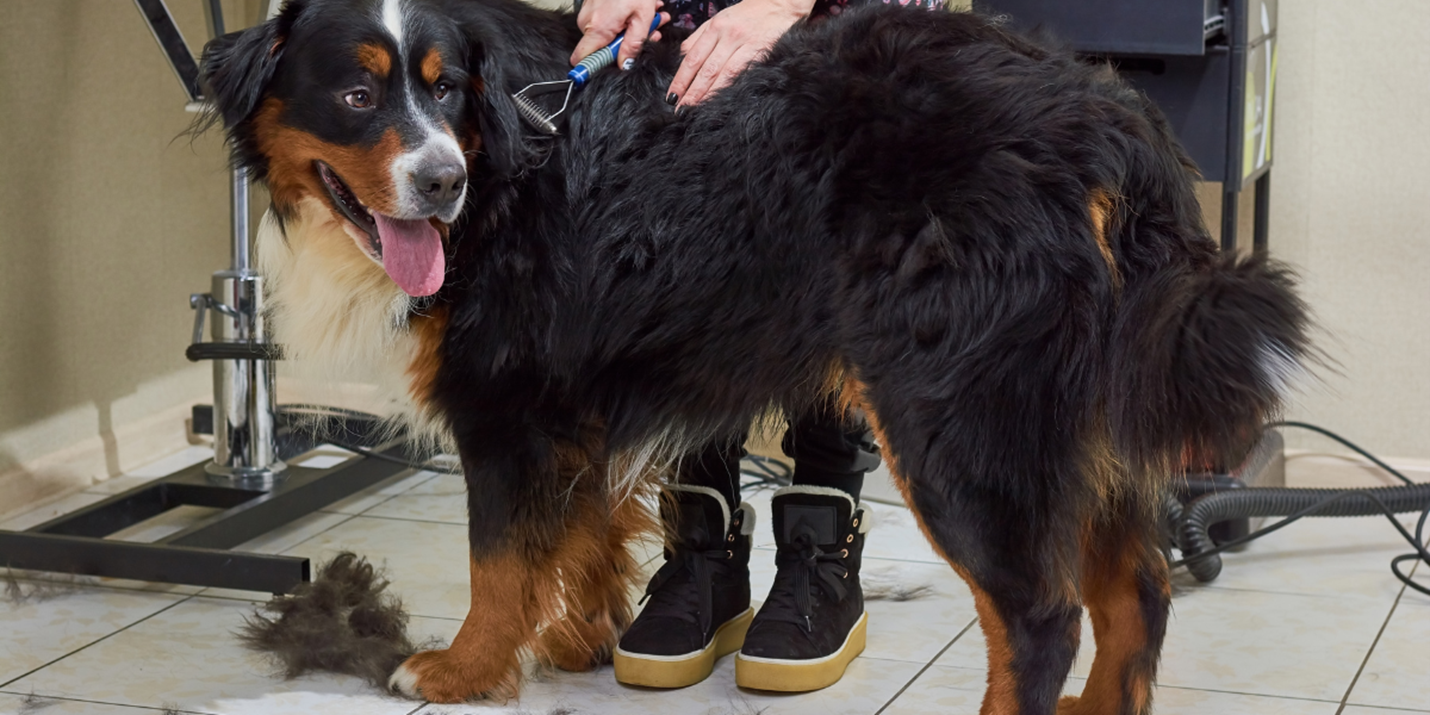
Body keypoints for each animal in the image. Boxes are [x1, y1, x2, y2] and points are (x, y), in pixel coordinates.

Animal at [195, 1, 1309, 709]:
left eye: (446, 89)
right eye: (356, 97)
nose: (440, 181)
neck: (508, 149)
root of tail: (1107, 113)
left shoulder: (505, 403)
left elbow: (499, 562)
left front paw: (463, 669)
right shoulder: (579, 393)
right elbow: (583, 532)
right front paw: (580, 639)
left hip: (956, 411)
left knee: (1041, 618)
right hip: (1070, 415)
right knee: (1136, 594)